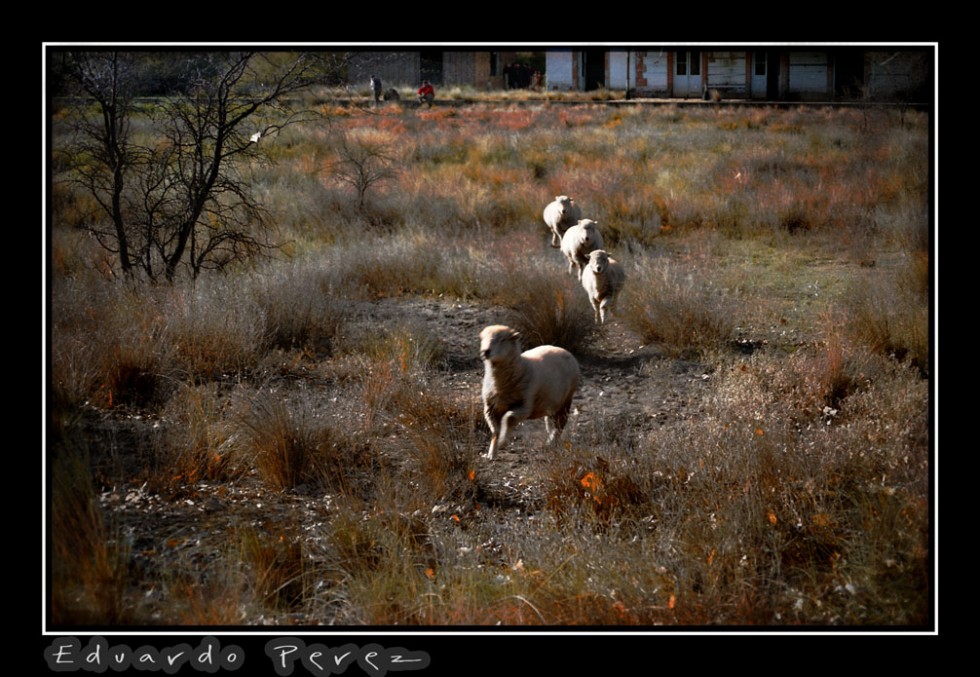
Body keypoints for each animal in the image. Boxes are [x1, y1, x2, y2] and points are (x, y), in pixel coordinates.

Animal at [478, 324, 580, 462]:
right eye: (482, 338)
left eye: (502, 339)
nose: (485, 351)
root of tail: (563, 349)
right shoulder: (491, 408)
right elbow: (495, 432)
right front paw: (492, 454)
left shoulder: (525, 405)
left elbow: (509, 418)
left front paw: (503, 441)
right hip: (552, 404)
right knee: (550, 423)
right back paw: (551, 440)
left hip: (566, 400)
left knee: (560, 425)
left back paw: (551, 442)